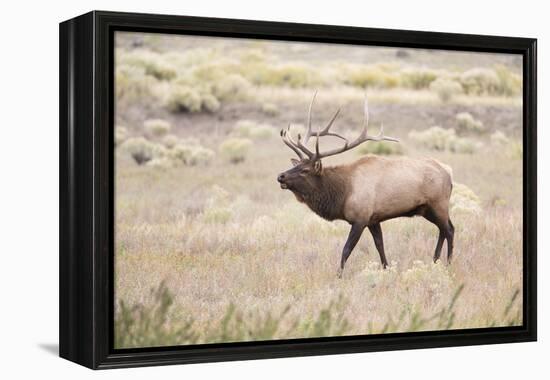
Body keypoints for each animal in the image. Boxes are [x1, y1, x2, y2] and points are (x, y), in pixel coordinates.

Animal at [278, 91, 454, 276]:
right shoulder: (373, 219)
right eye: (296, 165)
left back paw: (448, 264)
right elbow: (380, 245)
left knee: (449, 229)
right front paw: (386, 269)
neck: (342, 194)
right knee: (443, 229)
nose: (280, 176)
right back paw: (435, 260)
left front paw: (339, 275)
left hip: (439, 204)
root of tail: (448, 172)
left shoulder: (360, 218)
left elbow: (346, 249)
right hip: (427, 209)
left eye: (305, 170)